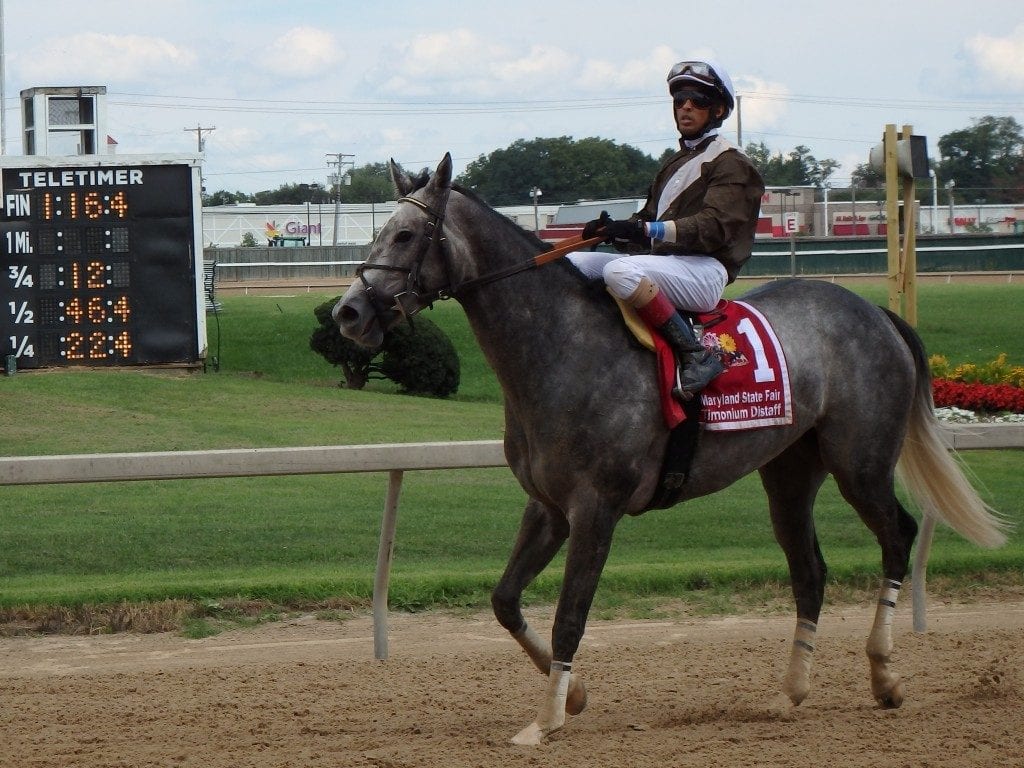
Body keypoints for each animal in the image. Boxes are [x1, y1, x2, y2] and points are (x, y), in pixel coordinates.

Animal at [333, 153, 999, 749]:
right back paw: (790, 692)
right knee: (810, 572)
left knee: (897, 537)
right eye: (378, 230)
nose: (348, 311)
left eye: (407, 233)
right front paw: (573, 696)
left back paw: (885, 674)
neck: (561, 346)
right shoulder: (547, 506)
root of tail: (875, 313)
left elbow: (570, 614)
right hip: (789, 472)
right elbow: (504, 600)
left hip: (860, 463)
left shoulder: (595, 509)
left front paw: (546, 720)